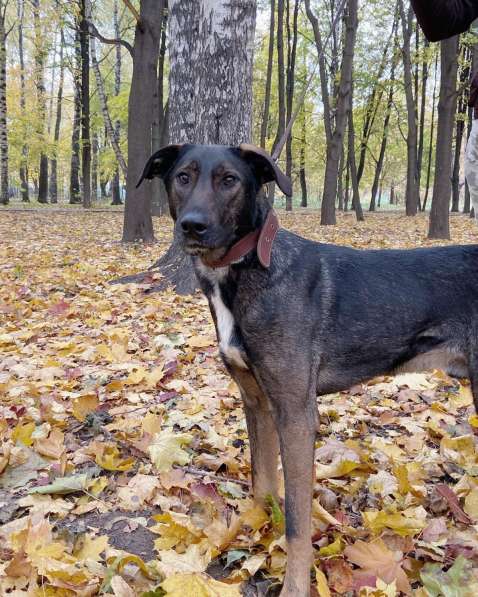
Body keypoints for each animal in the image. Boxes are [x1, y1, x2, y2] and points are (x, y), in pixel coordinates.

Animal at [137, 144, 478, 596]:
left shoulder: (296, 413)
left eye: (230, 180)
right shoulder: (257, 401)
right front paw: (255, 530)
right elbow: (262, 480)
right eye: (182, 177)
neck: (243, 271)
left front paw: (294, 585)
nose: (193, 225)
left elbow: (298, 523)